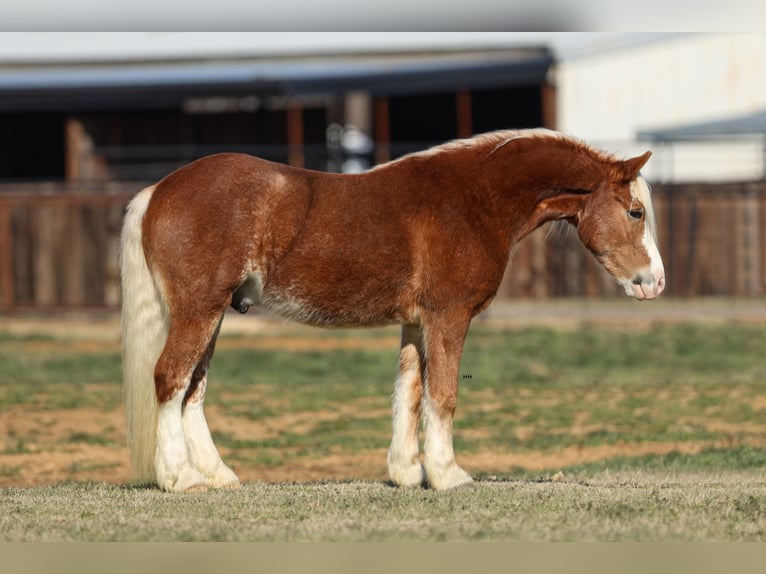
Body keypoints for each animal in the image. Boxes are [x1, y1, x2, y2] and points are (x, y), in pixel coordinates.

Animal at [121, 130, 664, 496]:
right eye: (635, 212)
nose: (654, 283)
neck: (472, 200)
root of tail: (159, 191)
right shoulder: (448, 317)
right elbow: (442, 395)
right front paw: (448, 475)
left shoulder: (416, 323)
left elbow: (410, 390)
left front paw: (408, 472)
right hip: (199, 310)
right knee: (171, 378)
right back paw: (181, 478)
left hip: (212, 315)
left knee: (193, 390)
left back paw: (218, 475)